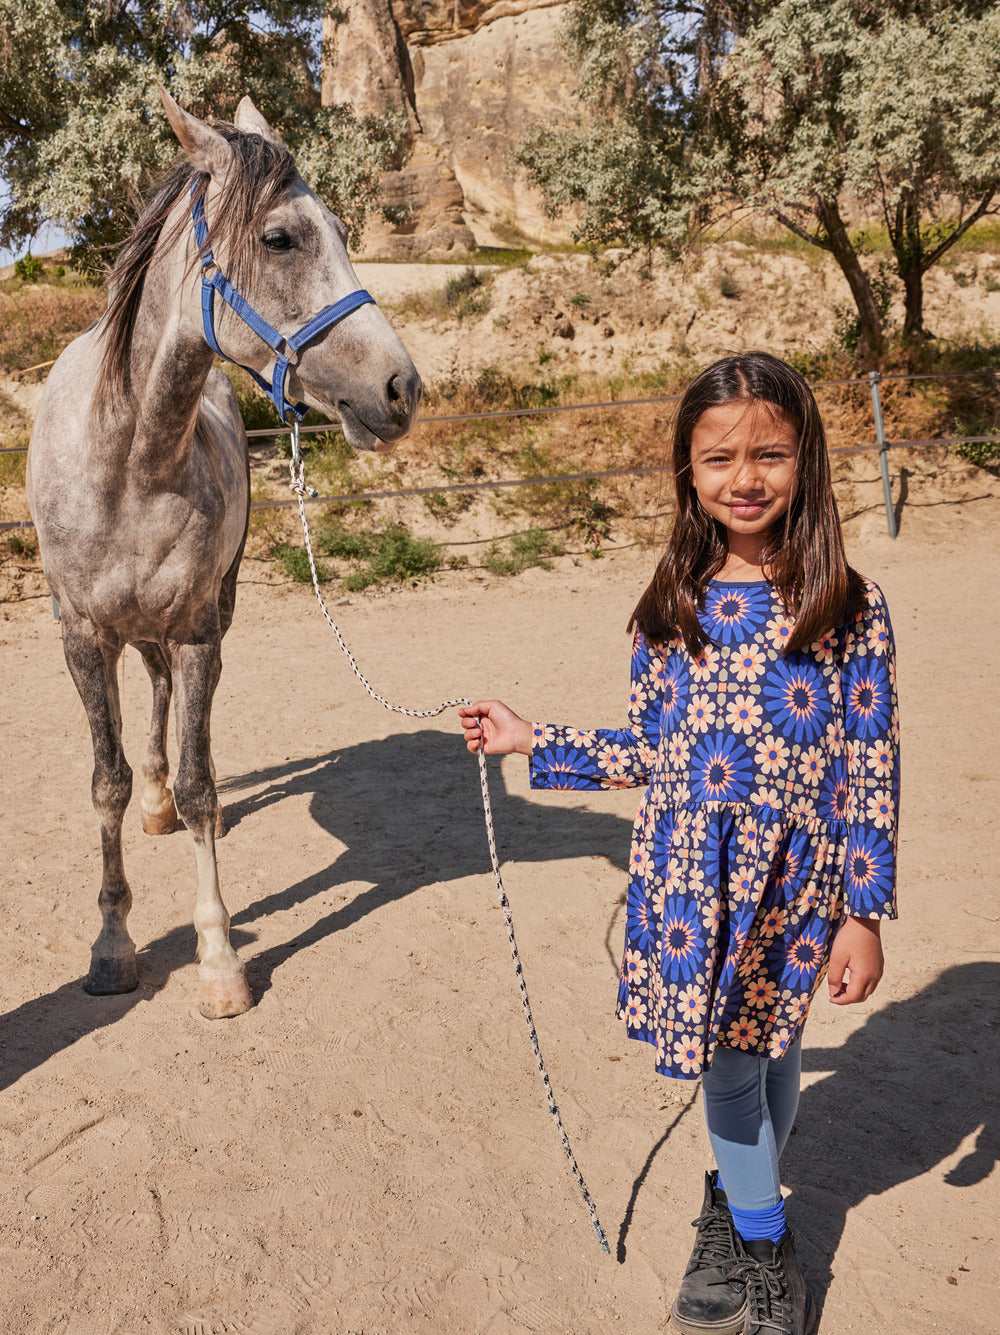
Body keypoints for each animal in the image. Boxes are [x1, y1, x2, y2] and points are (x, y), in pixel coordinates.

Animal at [28, 88, 421, 1014]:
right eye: (280, 238)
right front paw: (113, 946)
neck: (130, 458)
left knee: (172, 711)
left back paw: (165, 799)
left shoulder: (199, 630)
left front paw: (216, 957)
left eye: (343, 229)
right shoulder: (80, 637)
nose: (402, 389)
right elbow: (104, 782)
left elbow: (204, 785)